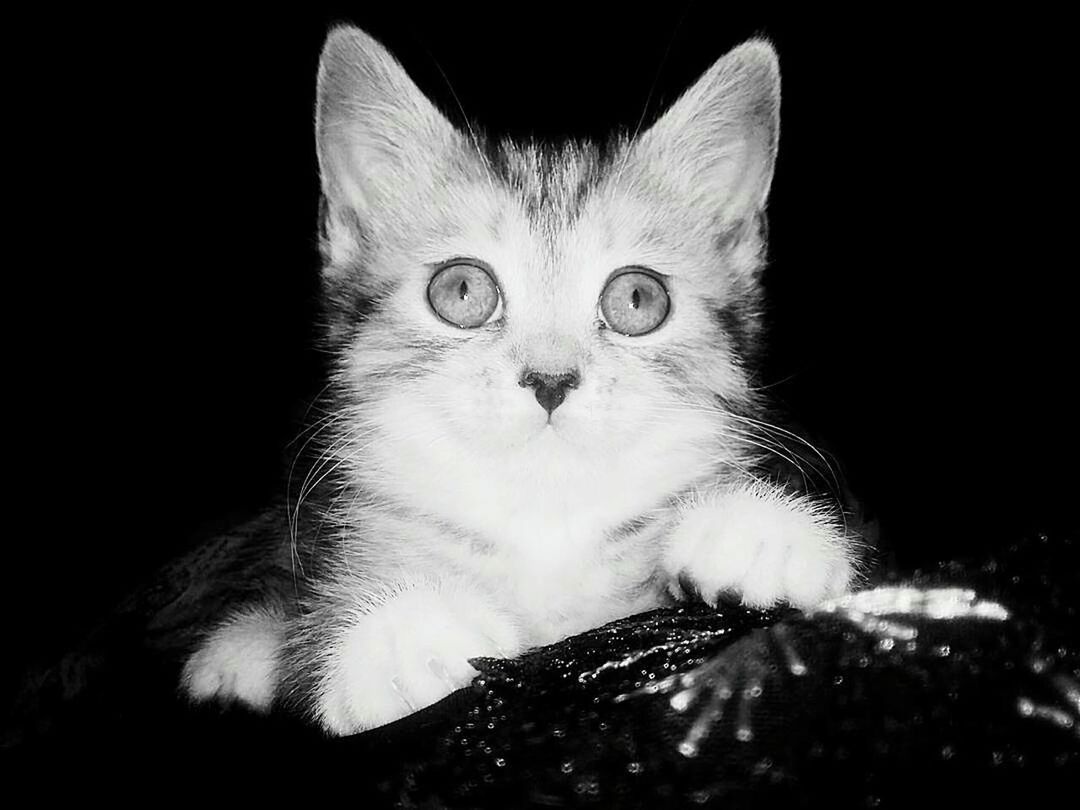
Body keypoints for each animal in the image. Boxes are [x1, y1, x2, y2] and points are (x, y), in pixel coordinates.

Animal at [181, 23, 864, 734]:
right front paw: (401, 634)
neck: (544, 521)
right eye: (460, 290)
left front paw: (760, 528)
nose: (550, 379)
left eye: (638, 300)